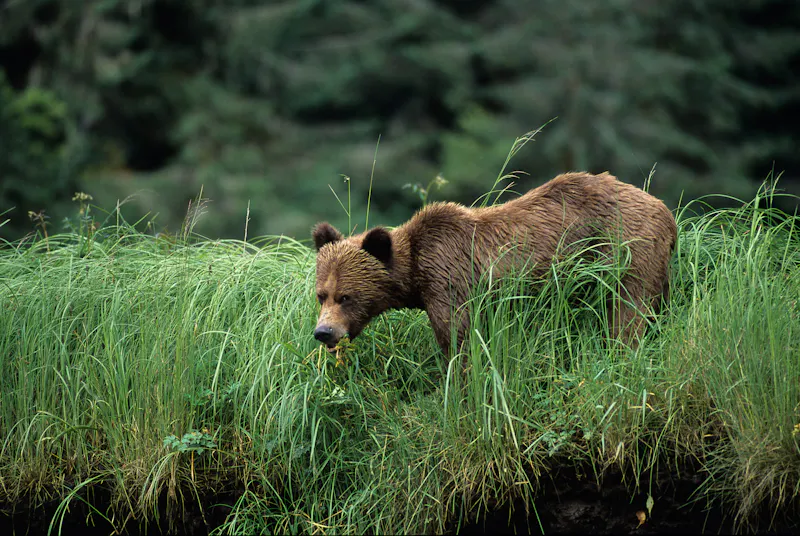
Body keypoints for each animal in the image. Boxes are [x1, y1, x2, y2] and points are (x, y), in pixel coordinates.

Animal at [311, 171, 677, 356]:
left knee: (628, 311)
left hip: (624, 249)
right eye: (321, 295)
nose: (323, 332)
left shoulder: (450, 280)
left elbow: (457, 339)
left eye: (346, 296)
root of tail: (665, 210)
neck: (415, 272)